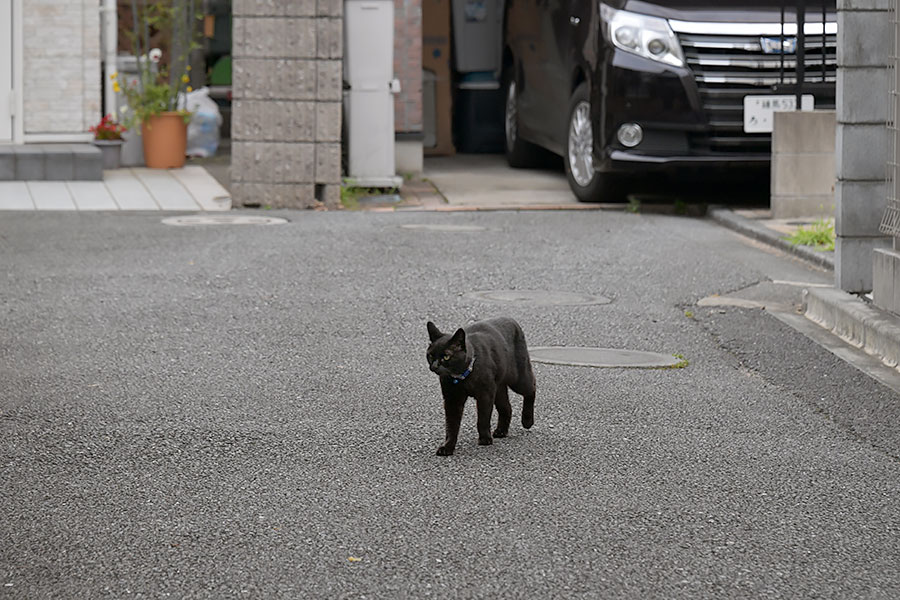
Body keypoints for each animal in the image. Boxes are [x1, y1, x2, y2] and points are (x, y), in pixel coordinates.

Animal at [424, 318, 536, 454]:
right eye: (430, 355)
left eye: (446, 356)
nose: (434, 366)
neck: (462, 377)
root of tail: (512, 320)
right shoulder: (452, 399)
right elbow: (451, 425)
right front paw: (447, 447)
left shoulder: (485, 395)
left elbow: (482, 419)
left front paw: (485, 439)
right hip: (498, 388)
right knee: (507, 407)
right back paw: (501, 431)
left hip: (518, 379)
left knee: (532, 388)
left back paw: (527, 420)